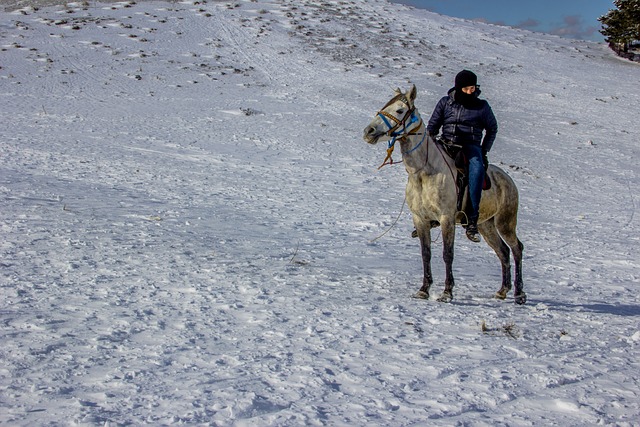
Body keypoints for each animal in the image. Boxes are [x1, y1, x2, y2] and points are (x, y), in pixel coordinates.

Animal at [362, 84, 528, 304]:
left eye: (399, 110)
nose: (369, 131)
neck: (424, 172)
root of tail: (509, 181)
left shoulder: (446, 218)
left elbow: (447, 254)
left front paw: (447, 292)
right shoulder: (420, 219)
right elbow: (426, 254)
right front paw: (424, 289)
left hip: (505, 222)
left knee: (517, 249)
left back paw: (519, 294)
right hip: (486, 225)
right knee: (503, 251)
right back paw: (502, 291)